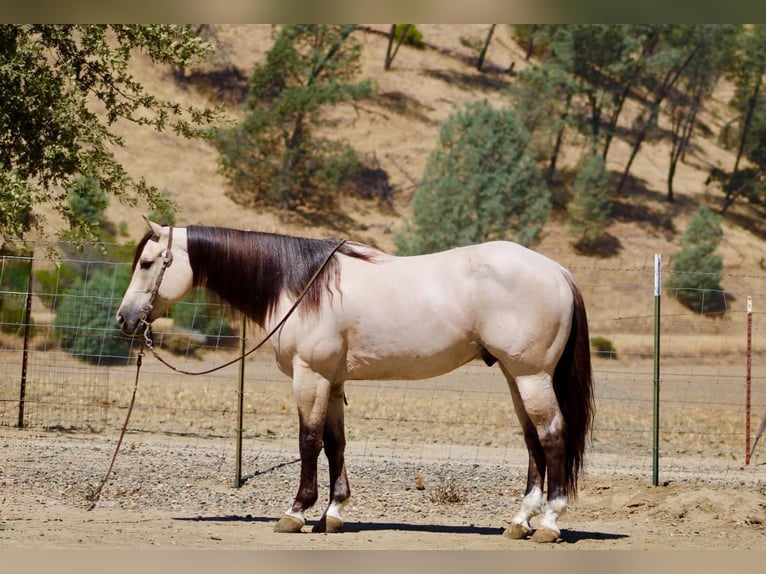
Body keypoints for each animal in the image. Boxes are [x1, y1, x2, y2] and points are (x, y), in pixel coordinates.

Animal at [116, 219, 594, 543]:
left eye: (147, 263)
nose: (124, 319)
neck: (299, 286)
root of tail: (559, 272)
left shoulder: (310, 377)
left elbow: (308, 441)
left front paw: (296, 511)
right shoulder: (333, 381)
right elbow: (335, 444)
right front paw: (333, 512)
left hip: (531, 376)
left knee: (552, 436)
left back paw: (549, 522)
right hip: (517, 377)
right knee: (532, 440)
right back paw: (519, 521)